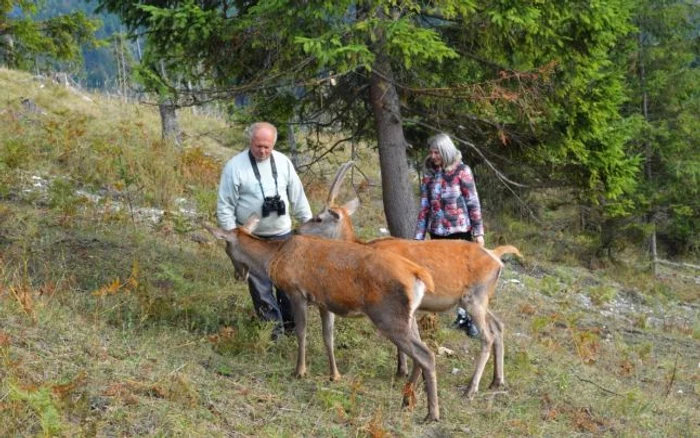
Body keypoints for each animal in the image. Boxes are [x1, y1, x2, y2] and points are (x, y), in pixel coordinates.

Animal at [204, 217, 442, 422]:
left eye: (226, 247)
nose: (238, 275)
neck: (274, 258)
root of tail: (418, 274)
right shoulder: (324, 303)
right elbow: (328, 337)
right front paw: (334, 375)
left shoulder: (297, 292)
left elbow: (302, 332)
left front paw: (300, 371)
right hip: (407, 317)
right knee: (420, 352)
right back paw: (407, 401)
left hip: (388, 316)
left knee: (425, 354)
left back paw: (431, 413)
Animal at [298, 162, 524, 400]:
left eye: (318, 218)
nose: (298, 229)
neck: (364, 247)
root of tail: (496, 257)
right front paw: (404, 371)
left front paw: (402, 371)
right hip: (479, 298)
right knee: (498, 325)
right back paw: (497, 381)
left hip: (475, 298)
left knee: (487, 337)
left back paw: (471, 388)